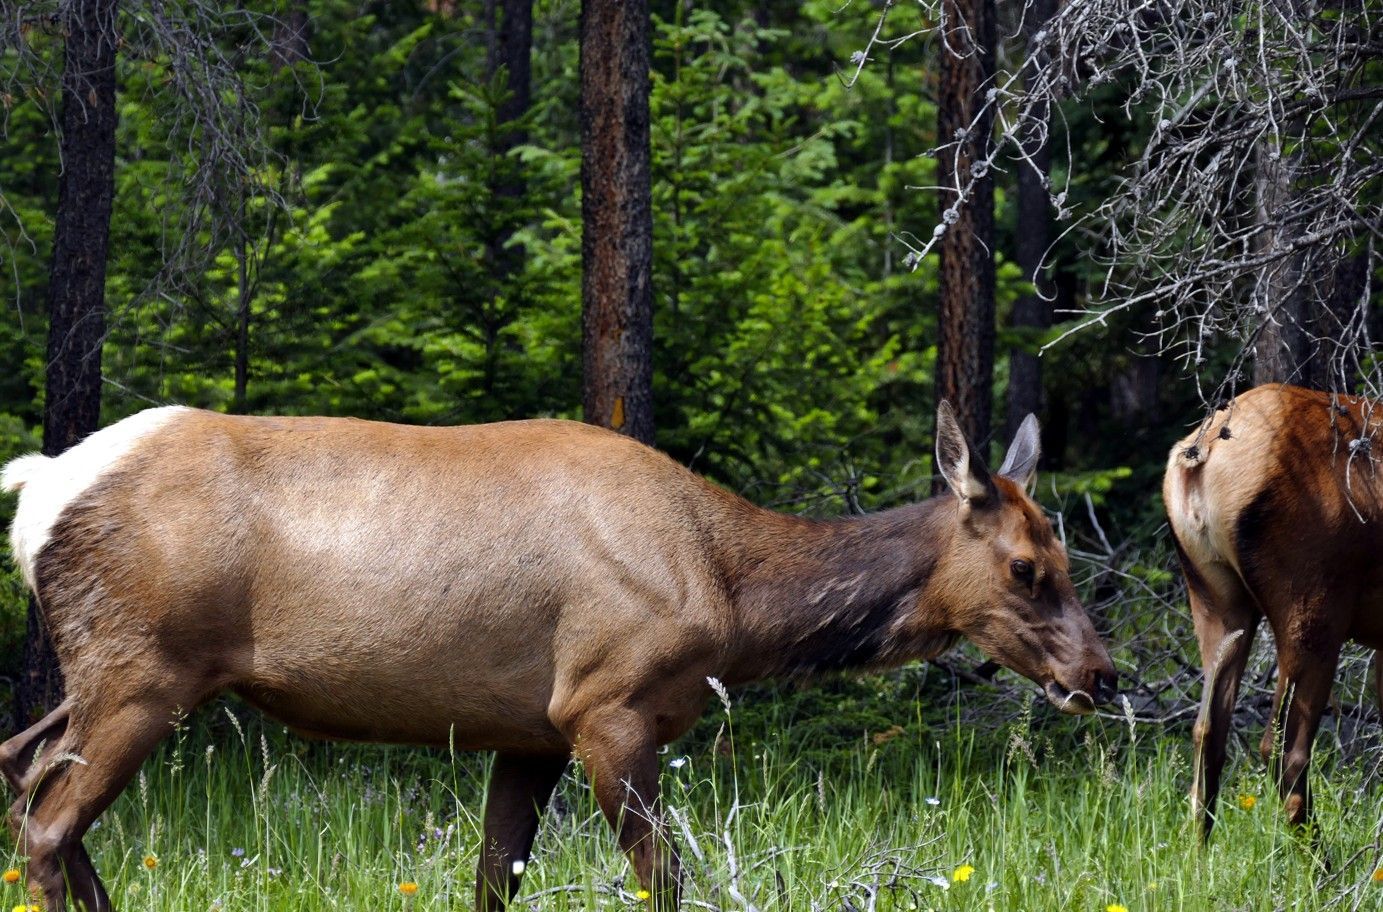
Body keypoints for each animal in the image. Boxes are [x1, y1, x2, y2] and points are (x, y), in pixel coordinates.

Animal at [0, 400, 1116, 911]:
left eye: (1066, 555)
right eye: (1026, 567)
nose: (1100, 676)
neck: (733, 595)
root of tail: (39, 485)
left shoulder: (528, 729)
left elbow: (495, 877)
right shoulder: (604, 703)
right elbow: (666, 879)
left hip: (112, 671)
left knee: (22, 768)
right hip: (143, 669)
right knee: (48, 822)